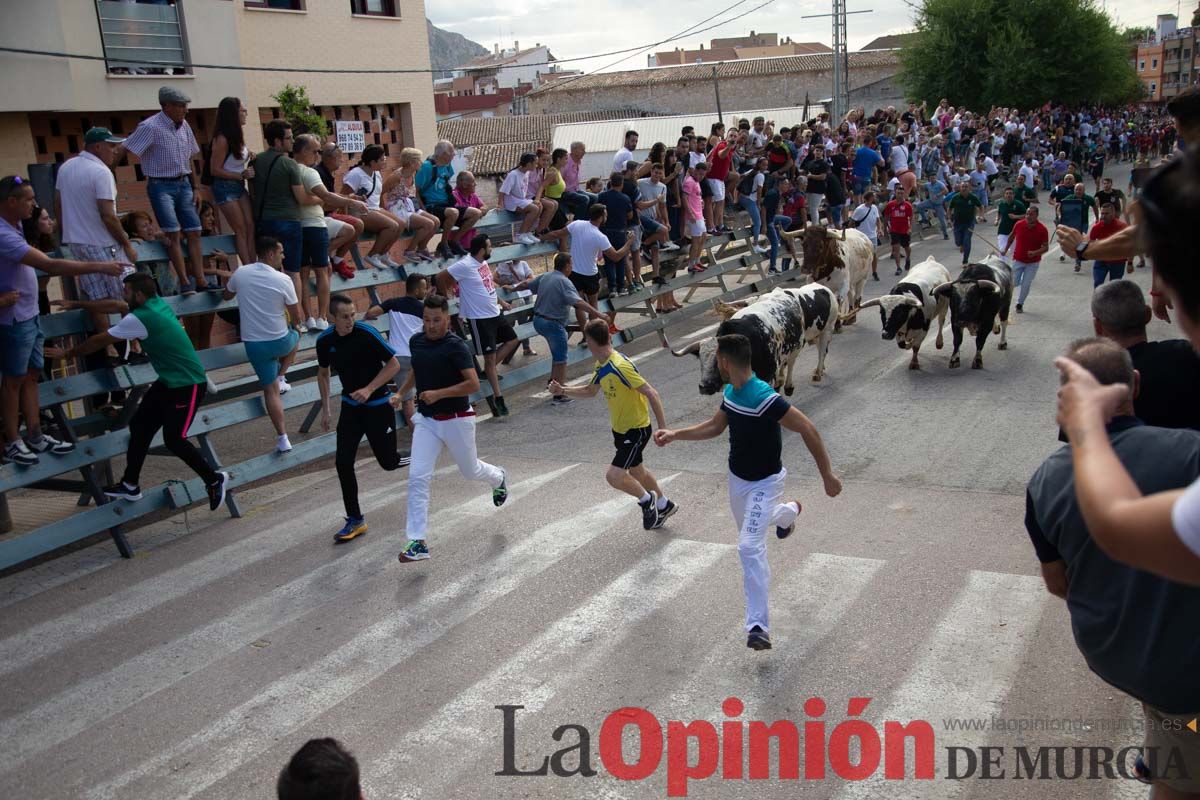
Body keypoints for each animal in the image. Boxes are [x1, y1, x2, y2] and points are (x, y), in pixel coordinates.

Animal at [672, 284, 840, 393]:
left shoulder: (767, 372)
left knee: (815, 354)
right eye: (700, 360)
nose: (704, 386)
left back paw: (804, 379)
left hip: (819, 334)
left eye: (719, 359)